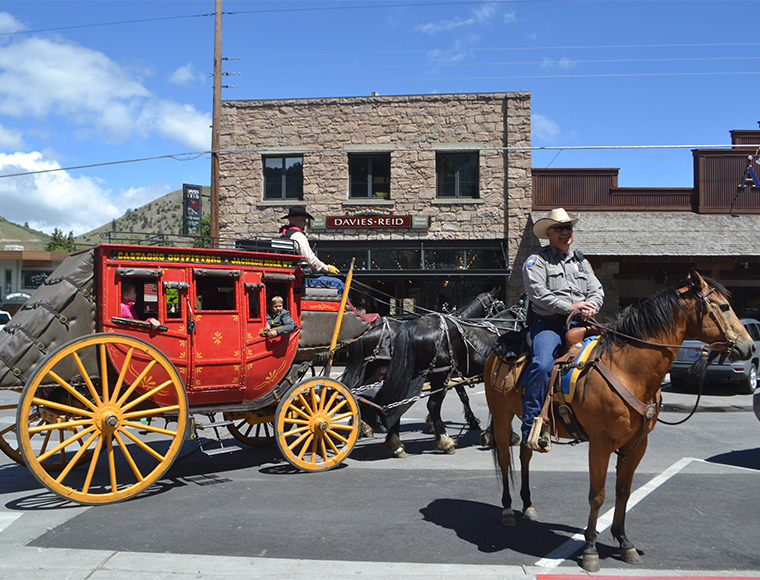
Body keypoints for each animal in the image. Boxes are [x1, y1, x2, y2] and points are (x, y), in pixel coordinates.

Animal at [486, 270, 756, 572]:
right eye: (724, 306)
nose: (749, 346)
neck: (628, 369)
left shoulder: (637, 444)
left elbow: (623, 492)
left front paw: (625, 542)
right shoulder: (601, 444)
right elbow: (598, 494)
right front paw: (590, 550)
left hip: (528, 421)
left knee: (525, 455)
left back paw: (528, 505)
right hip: (501, 416)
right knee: (505, 458)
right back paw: (508, 509)